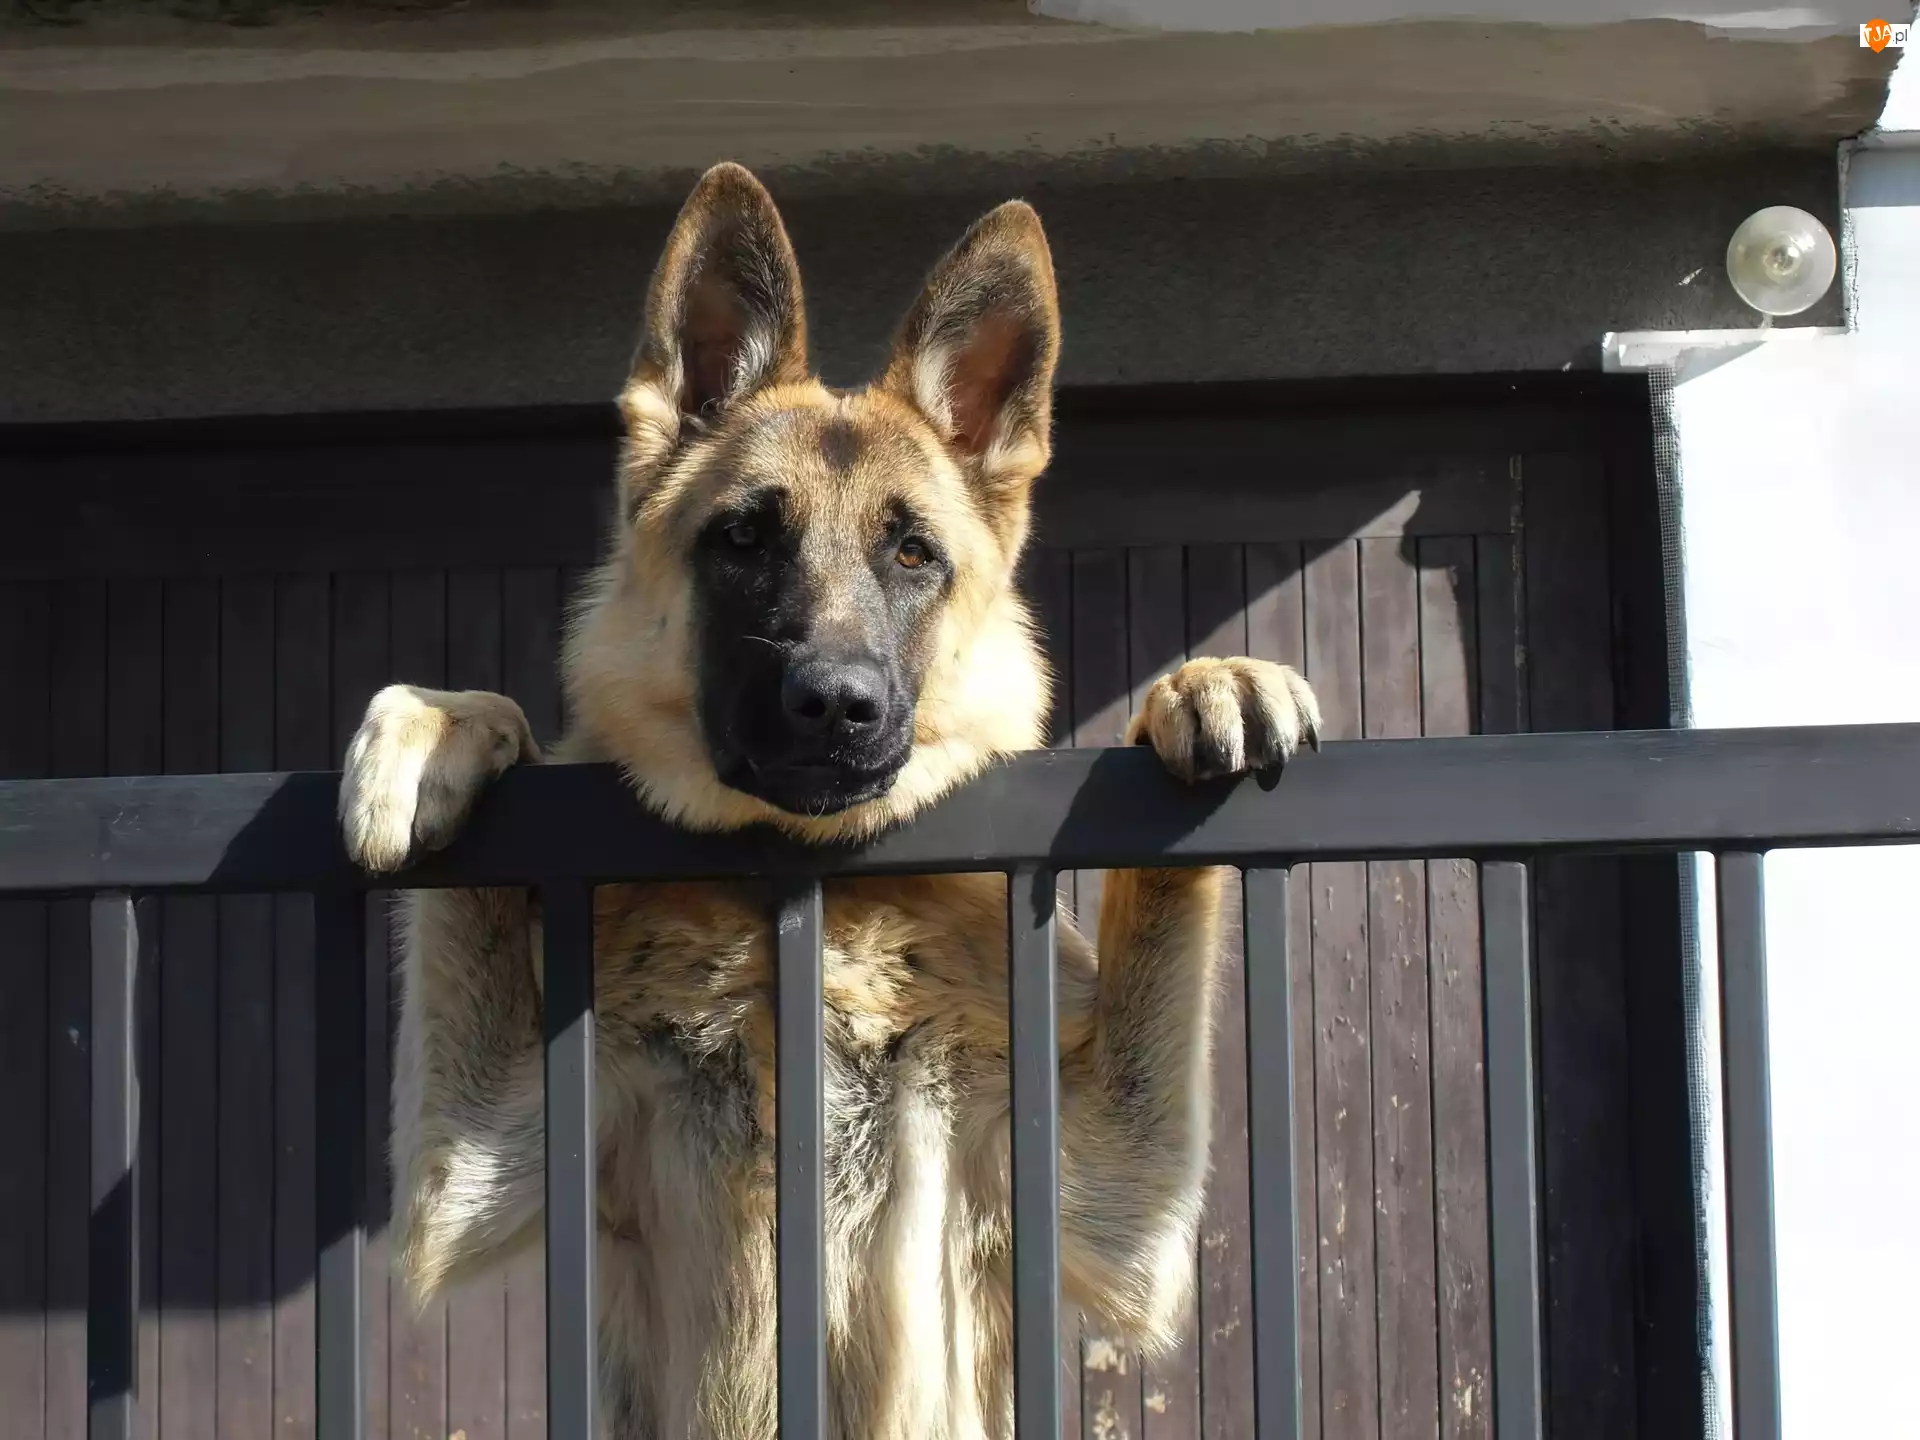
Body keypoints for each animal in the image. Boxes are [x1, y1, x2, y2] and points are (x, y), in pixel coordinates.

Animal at [338, 161, 1322, 1439]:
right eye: (746, 540)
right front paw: (441, 722)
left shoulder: (1114, 1195)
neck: (810, 912)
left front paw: (1207, 681)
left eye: (913, 555)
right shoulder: (473, 1168)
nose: (837, 705)